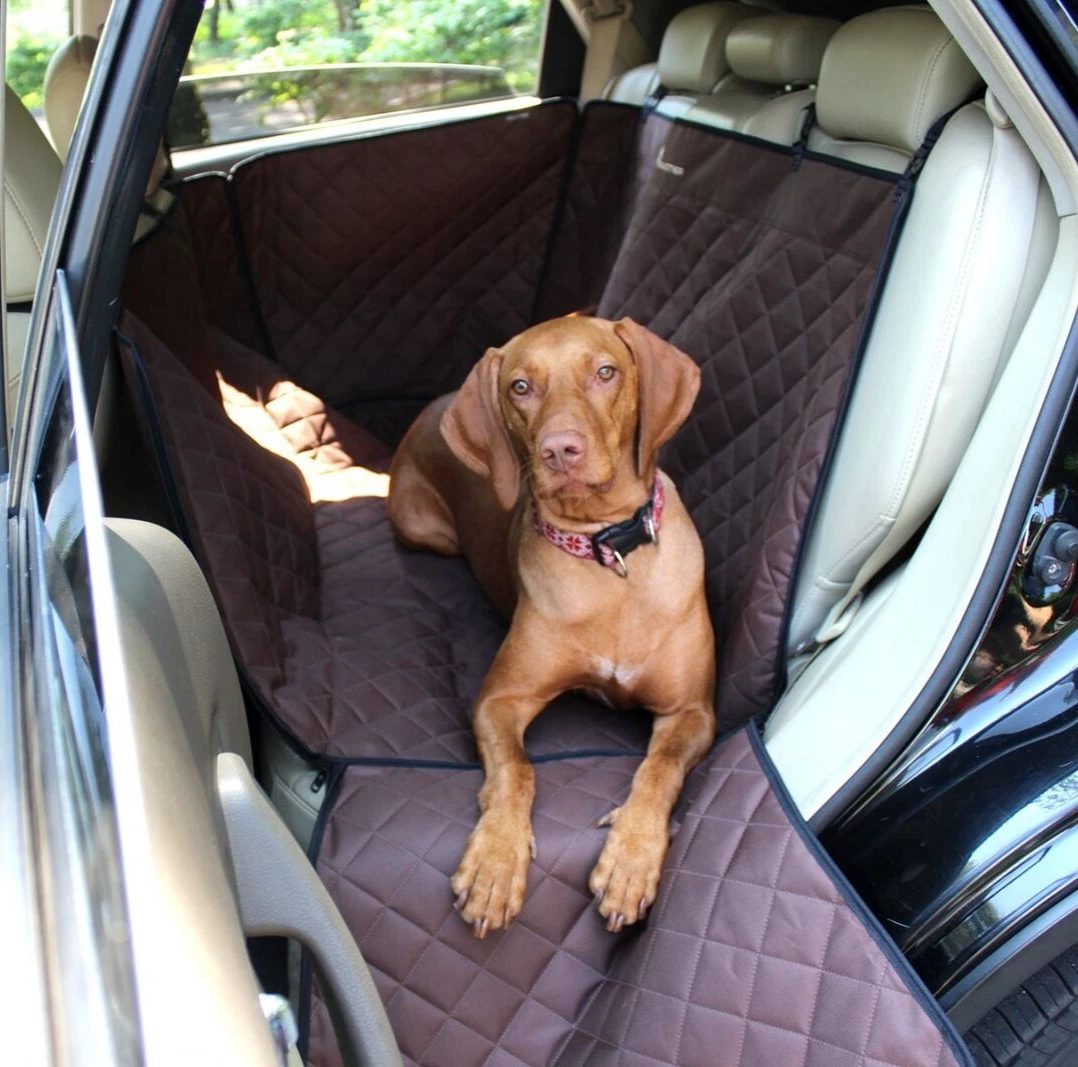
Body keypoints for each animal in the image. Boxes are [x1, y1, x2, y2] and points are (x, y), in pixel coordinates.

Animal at [388, 314, 715, 935]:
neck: (609, 555)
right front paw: (495, 860)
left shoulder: (692, 711)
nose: (560, 449)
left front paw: (631, 859)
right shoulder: (499, 700)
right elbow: (517, 772)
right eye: (520, 386)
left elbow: (659, 770)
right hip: (421, 528)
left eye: (606, 372)